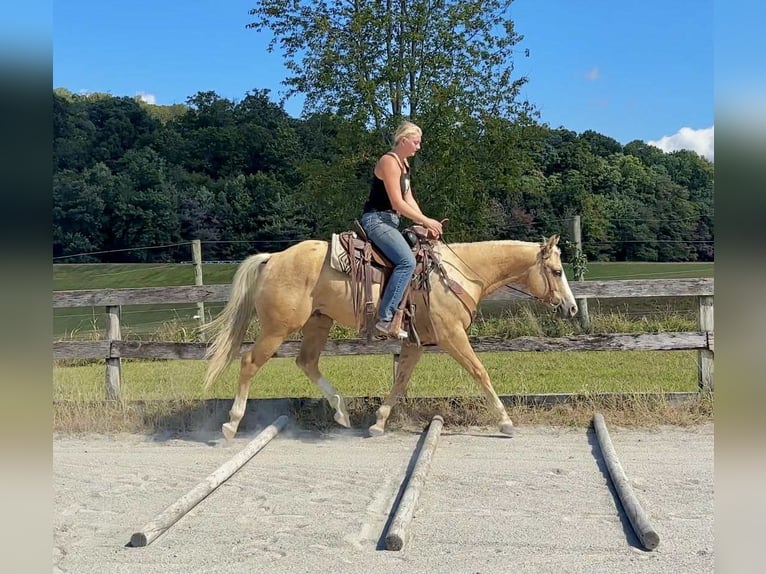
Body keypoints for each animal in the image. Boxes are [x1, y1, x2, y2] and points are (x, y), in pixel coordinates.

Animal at [202, 234, 578, 439]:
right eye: (557, 271)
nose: (572, 308)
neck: (455, 274)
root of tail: (273, 258)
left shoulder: (414, 343)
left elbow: (400, 382)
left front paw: (379, 423)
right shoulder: (452, 336)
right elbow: (480, 372)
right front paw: (505, 421)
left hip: (318, 322)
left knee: (307, 362)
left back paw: (341, 412)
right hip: (278, 329)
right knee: (249, 362)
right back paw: (231, 424)